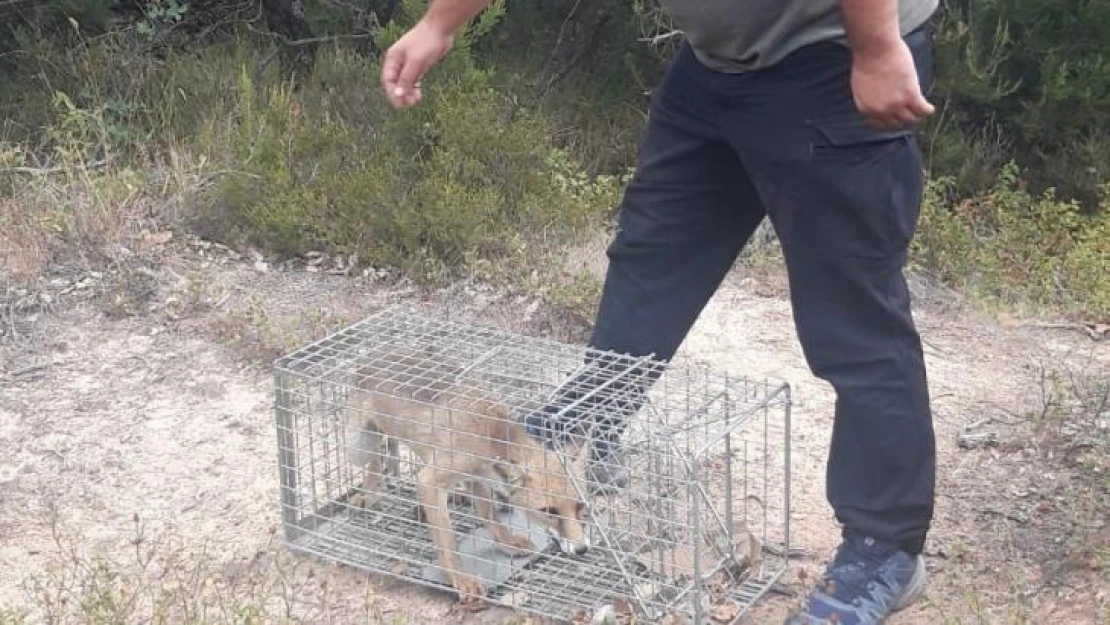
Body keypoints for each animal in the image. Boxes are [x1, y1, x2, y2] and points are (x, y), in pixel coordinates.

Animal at [344, 355, 590, 603]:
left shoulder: (475, 477)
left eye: (580, 506)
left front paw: (507, 542)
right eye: (549, 511)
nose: (582, 549)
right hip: (357, 449)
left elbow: (489, 516)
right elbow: (447, 543)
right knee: (376, 461)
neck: (490, 434)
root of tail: (373, 357)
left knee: (388, 454)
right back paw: (367, 495)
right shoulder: (430, 481)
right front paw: (459, 579)